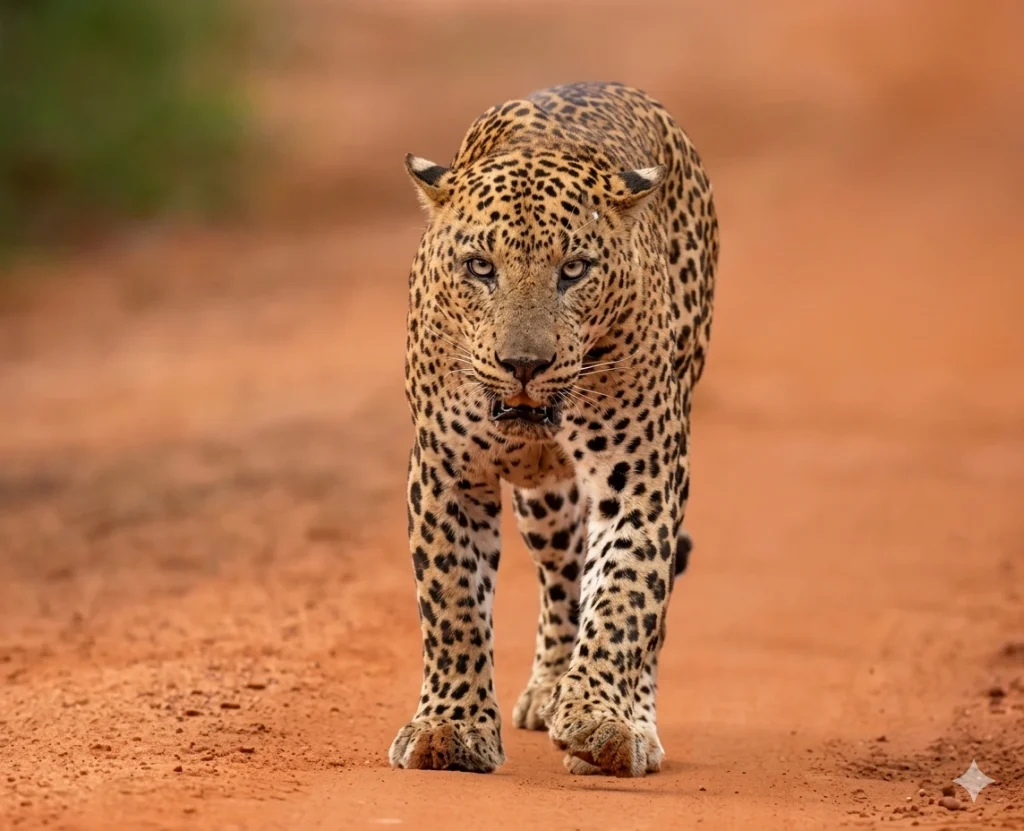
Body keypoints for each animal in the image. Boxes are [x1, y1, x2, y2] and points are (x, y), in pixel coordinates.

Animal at [388, 82, 718, 777]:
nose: (523, 365)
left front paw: (600, 721)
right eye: (479, 267)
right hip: (542, 504)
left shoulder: (642, 475)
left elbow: (625, 595)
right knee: (563, 573)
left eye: (575, 269)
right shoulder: (445, 474)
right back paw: (547, 688)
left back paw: (631, 719)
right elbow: (452, 603)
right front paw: (452, 727)